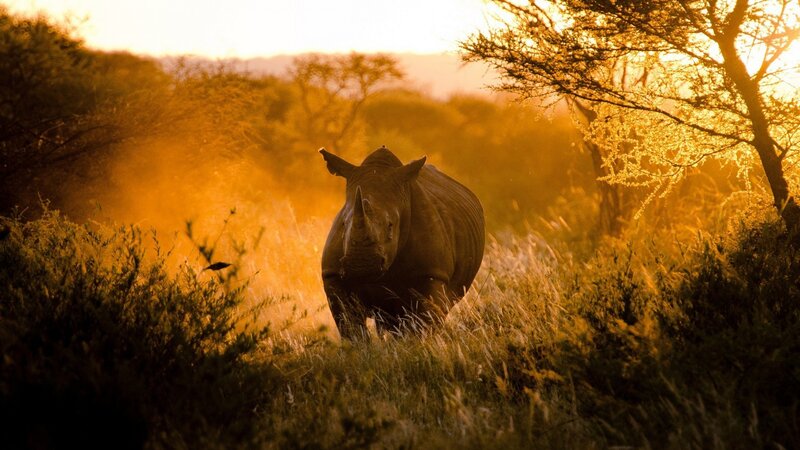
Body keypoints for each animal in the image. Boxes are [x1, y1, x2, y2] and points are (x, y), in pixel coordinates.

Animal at [320, 146, 485, 340]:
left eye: (391, 225)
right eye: (344, 224)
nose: (361, 265)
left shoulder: (432, 273)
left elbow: (423, 322)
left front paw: (419, 344)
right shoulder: (333, 275)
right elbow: (350, 326)